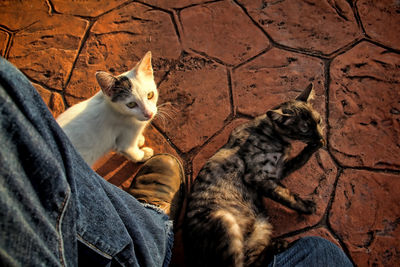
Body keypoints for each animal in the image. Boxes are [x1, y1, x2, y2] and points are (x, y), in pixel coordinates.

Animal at [184, 84, 324, 267]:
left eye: (319, 121)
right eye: (305, 129)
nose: (320, 136)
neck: (271, 131)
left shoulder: (279, 170)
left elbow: (299, 160)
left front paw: (316, 146)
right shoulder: (259, 177)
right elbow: (287, 195)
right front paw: (307, 206)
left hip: (263, 224)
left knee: (252, 259)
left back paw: (278, 246)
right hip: (225, 220)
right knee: (240, 264)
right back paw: (279, 246)